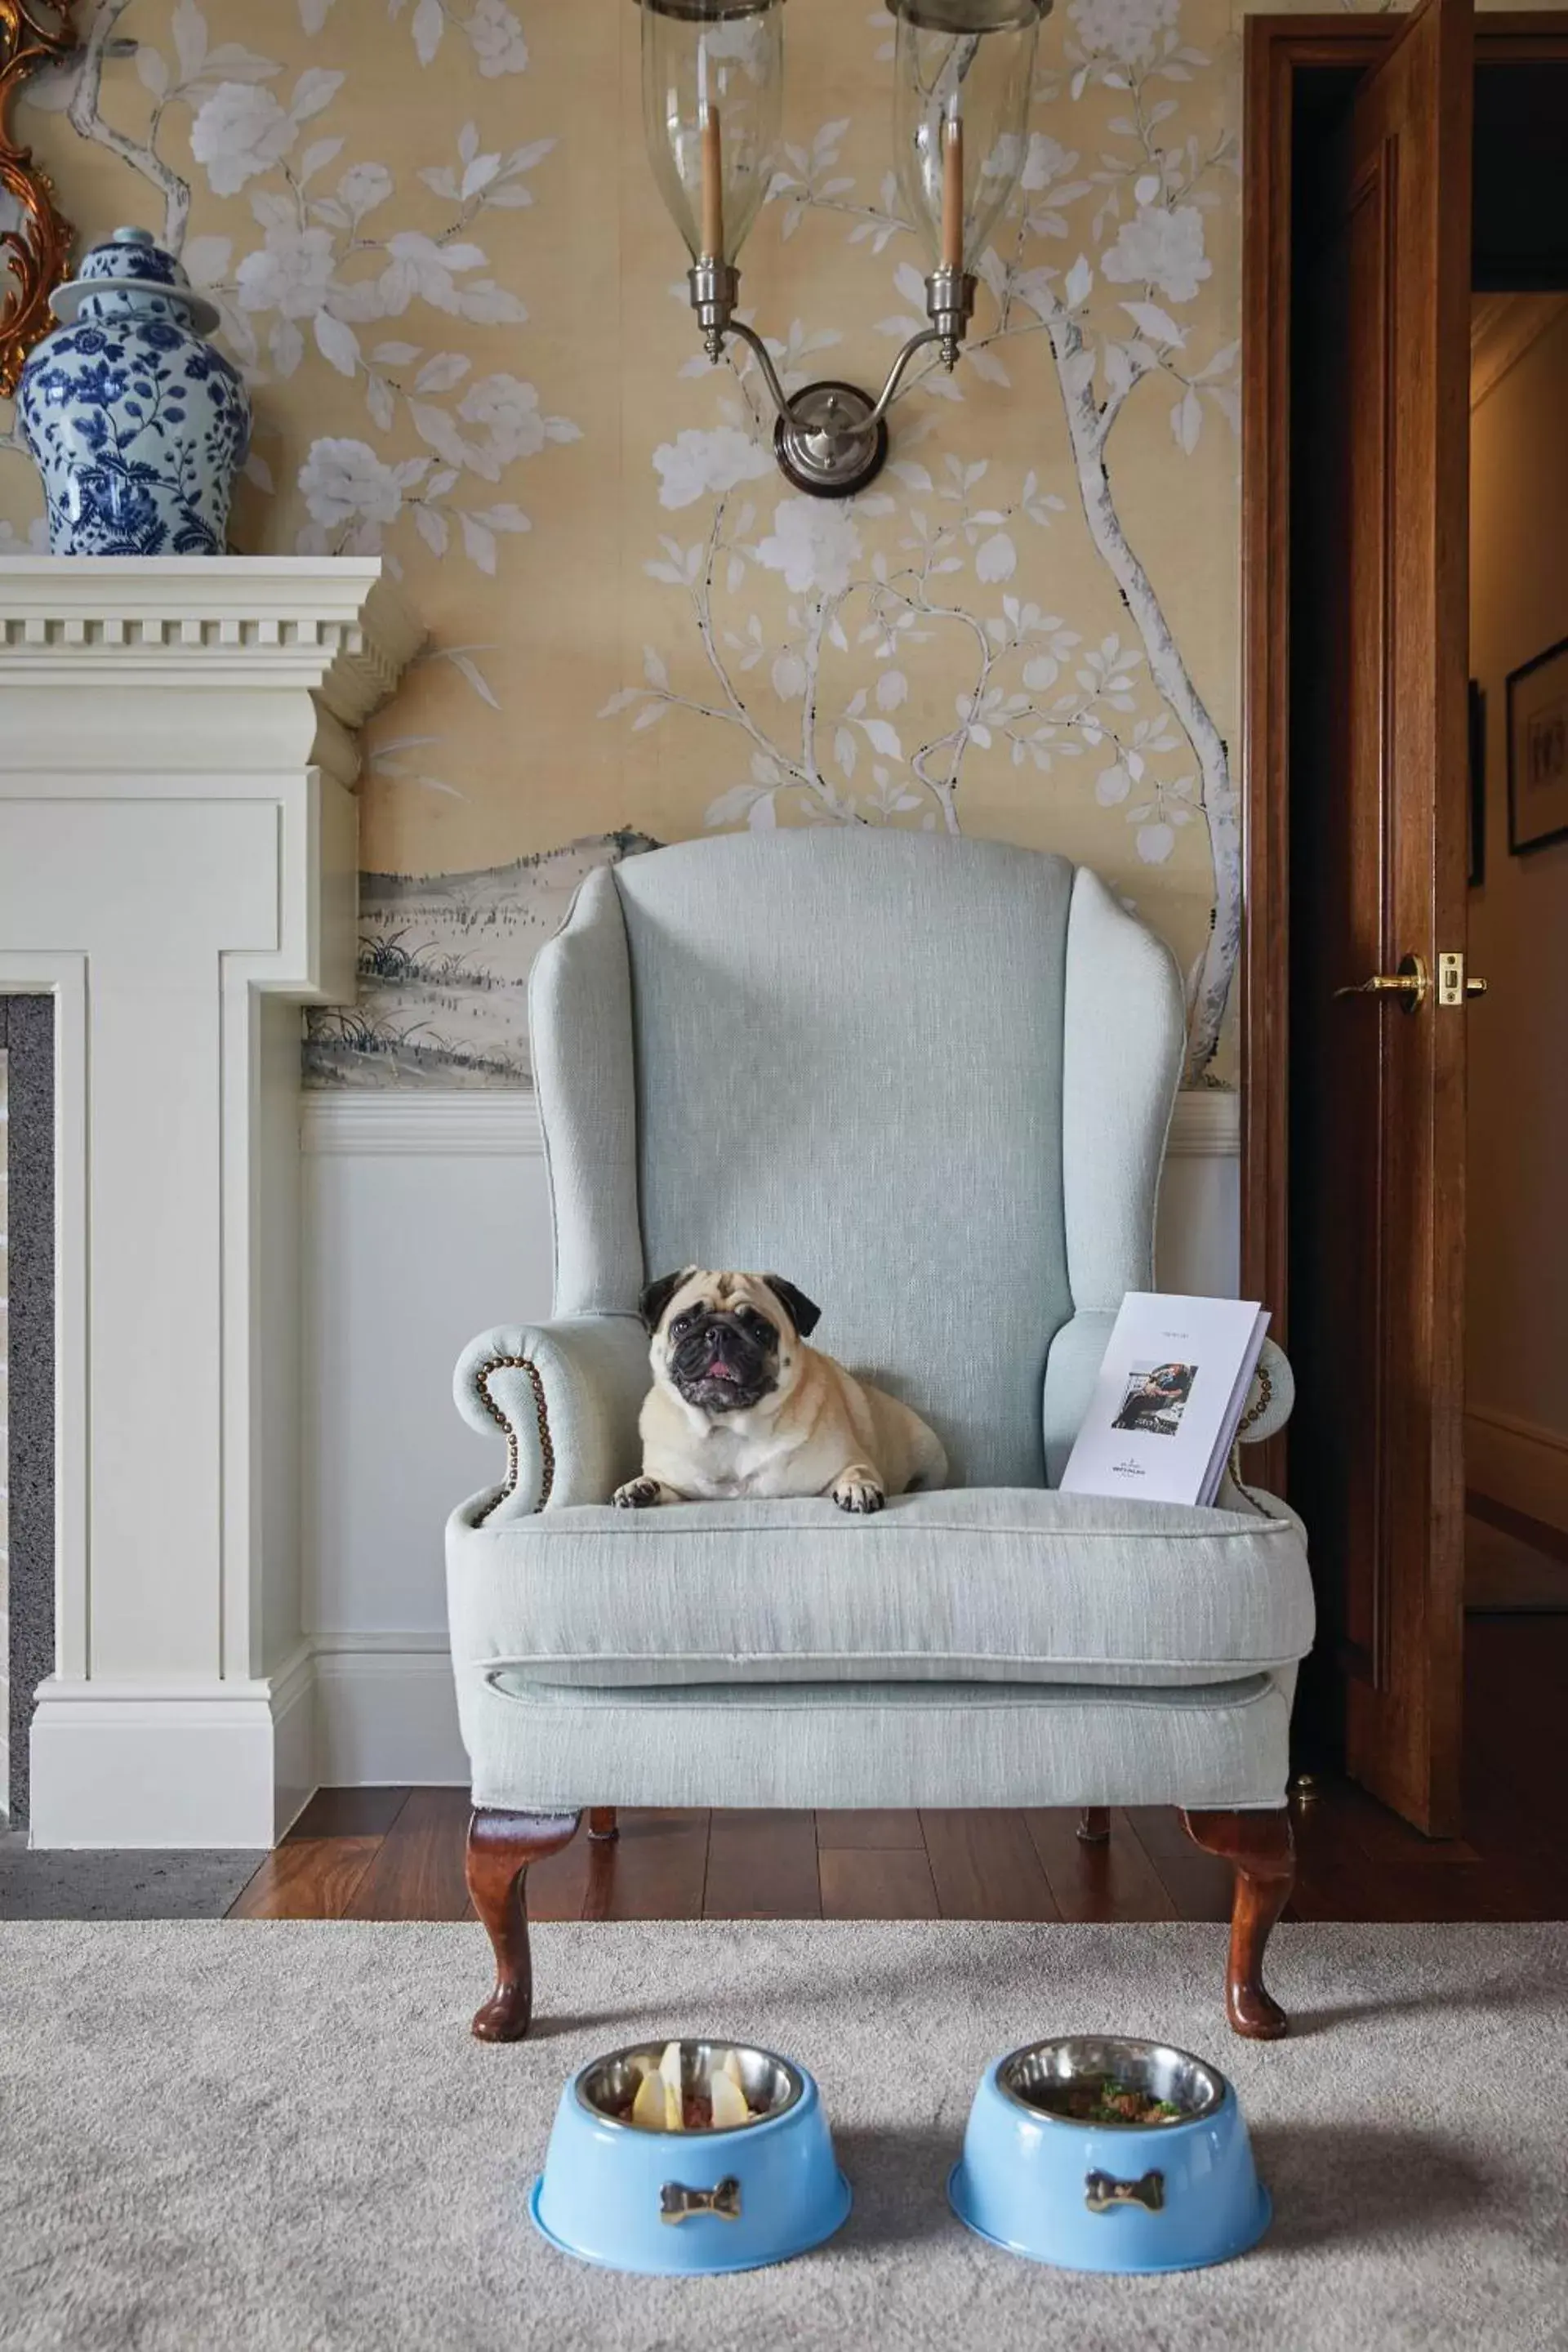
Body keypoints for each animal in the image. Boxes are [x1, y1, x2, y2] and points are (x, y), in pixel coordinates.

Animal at [616, 1279, 949, 1514]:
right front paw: (641, 1487)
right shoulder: (682, 1485)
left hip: (931, 1457)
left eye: (761, 1332)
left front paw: (858, 1488)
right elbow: (665, 1484)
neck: (731, 1425)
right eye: (682, 1325)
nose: (719, 1333)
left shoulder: (845, 1464)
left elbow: (856, 1470)